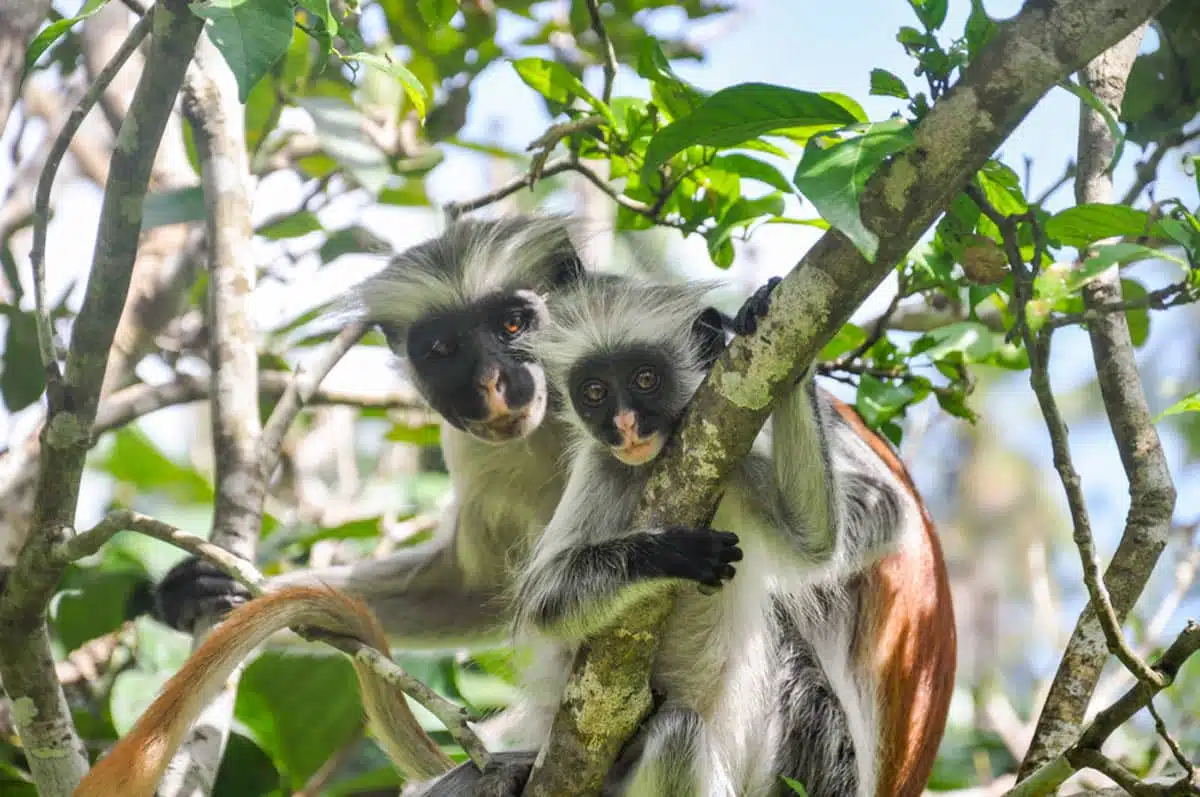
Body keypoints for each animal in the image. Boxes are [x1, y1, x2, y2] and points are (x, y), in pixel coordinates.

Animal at [422, 278, 955, 797]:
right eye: (594, 392)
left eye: (645, 379)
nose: (623, 424)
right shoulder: (602, 466)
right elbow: (547, 602)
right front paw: (670, 553)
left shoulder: (740, 461)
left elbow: (818, 539)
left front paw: (774, 339)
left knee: (678, 731)